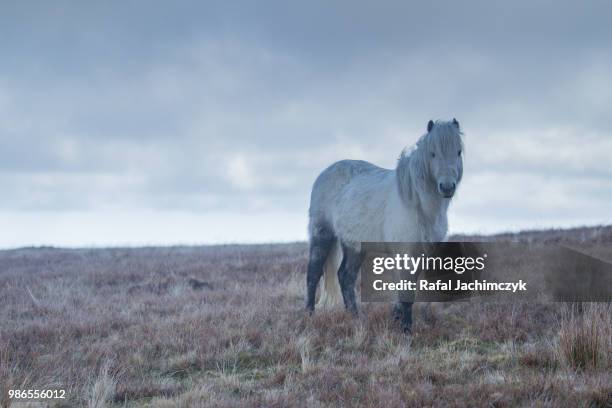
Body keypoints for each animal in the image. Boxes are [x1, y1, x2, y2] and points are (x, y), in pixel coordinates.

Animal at [306, 118, 464, 332]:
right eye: (432, 153)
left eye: (458, 151)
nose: (447, 187)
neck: (417, 204)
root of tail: (324, 174)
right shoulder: (405, 253)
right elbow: (406, 292)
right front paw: (406, 330)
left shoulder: (421, 254)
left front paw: (397, 319)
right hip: (322, 234)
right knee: (313, 274)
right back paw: (308, 315)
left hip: (354, 246)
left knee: (345, 277)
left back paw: (356, 317)